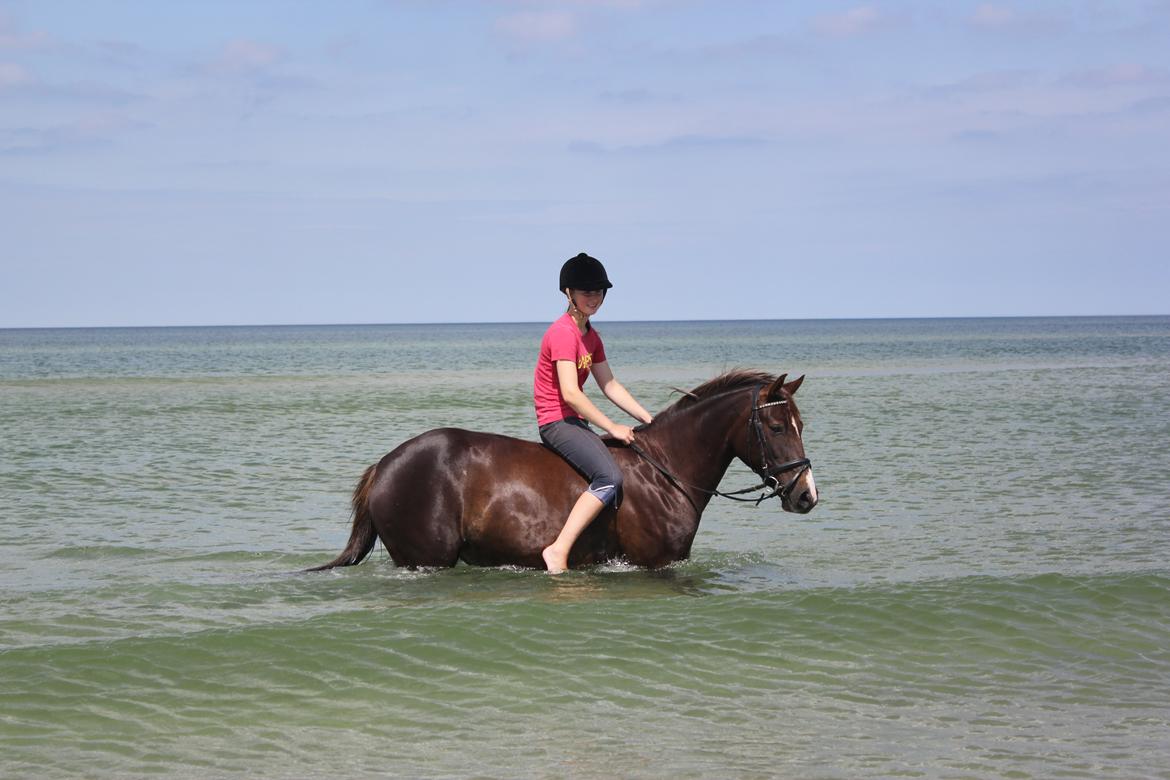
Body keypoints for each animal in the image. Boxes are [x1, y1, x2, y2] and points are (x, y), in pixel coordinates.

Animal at [311, 369, 823, 570]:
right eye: (777, 426)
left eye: (799, 424)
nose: (806, 495)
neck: (665, 472)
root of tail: (385, 464)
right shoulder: (654, 564)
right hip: (425, 558)